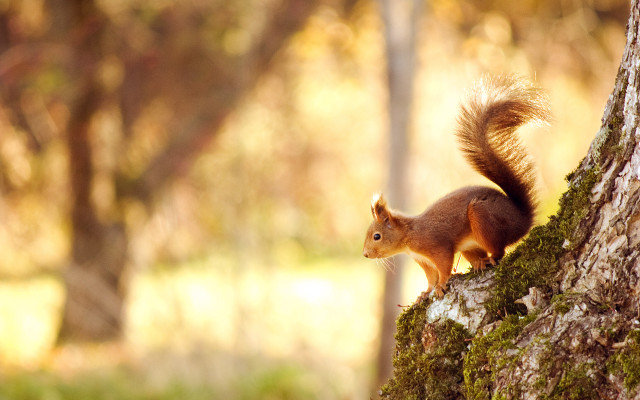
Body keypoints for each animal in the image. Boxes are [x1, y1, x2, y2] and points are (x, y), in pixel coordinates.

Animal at [362, 75, 550, 300]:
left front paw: (442, 285)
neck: (409, 235)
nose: (365, 254)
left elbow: (443, 267)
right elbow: (430, 277)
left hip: (483, 218)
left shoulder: (436, 246)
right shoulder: (423, 260)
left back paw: (489, 259)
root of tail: (523, 219)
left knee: (499, 251)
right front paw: (425, 293)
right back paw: (478, 263)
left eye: (377, 236)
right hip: (471, 244)